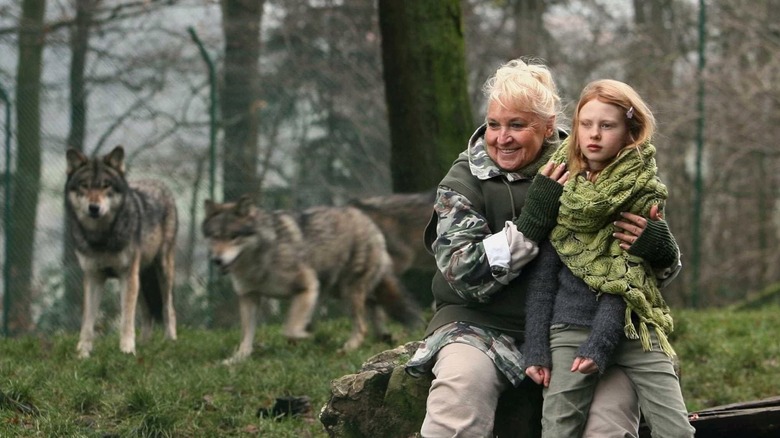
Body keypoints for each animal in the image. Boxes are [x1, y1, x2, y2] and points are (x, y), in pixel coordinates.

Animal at [65, 145, 178, 358]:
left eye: (105, 186)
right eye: (84, 185)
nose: (94, 208)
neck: (101, 237)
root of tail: (157, 182)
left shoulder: (127, 276)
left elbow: (126, 318)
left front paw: (126, 350)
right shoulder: (93, 276)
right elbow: (87, 321)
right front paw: (83, 353)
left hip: (162, 271)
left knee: (168, 308)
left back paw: (170, 341)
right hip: (141, 278)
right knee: (147, 313)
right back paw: (144, 343)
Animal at [201, 197, 420, 364]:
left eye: (233, 236)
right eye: (215, 237)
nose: (217, 260)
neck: (263, 256)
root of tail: (368, 220)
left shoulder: (307, 286)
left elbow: (289, 329)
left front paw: (307, 336)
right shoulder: (249, 296)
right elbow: (247, 335)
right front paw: (237, 359)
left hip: (348, 291)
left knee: (362, 326)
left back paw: (347, 348)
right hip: (340, 290)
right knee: (375, 308)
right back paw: (383, 337)